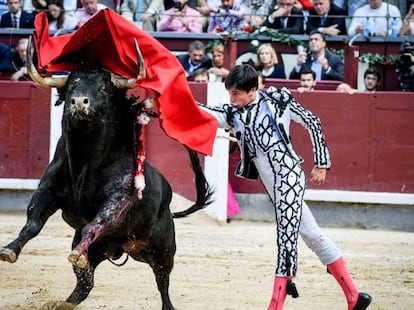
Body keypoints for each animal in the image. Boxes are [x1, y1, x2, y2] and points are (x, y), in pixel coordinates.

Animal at [0, 68, 213, 310]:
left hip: (163, 250)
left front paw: (76, 252)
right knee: (85, 284)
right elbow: (33, 224)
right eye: (71, 85)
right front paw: (9, 250)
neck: (84, 160)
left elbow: (93, 225)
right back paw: (64, 303)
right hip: (100, 250)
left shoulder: (116, 200)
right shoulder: (47, 191)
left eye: (103, 88)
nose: (79, 102)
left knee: (163, 283)